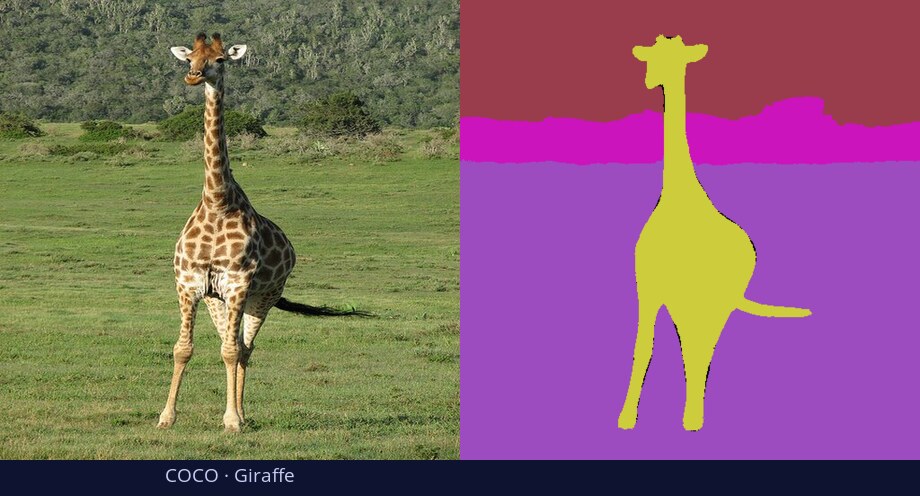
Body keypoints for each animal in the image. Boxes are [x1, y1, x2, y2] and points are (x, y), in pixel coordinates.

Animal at [158, 33, 365, 433]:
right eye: (189, 58)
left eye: (221, 60)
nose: (194, 76)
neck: (216, 202)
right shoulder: (190, 285)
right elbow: (182, 349)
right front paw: (166, 417)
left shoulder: (239, 285)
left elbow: (231, 351)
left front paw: (231, 420)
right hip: (218, 301)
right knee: (235, 344)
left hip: (263, 297)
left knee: (245, 349)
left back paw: (242, 414)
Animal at [617, 35, 811, 431]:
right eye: (653, 57)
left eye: (669, 59)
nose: (648, 81)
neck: (677, 197)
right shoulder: (650, 287)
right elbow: (644, 346)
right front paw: (627, 418)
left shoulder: (674, 293)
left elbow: (673, 350)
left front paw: (673, 419)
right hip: (694, 304)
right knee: (695, 350)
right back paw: (691, 414)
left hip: (711, 304)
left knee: (701, 350)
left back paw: (693, 418)